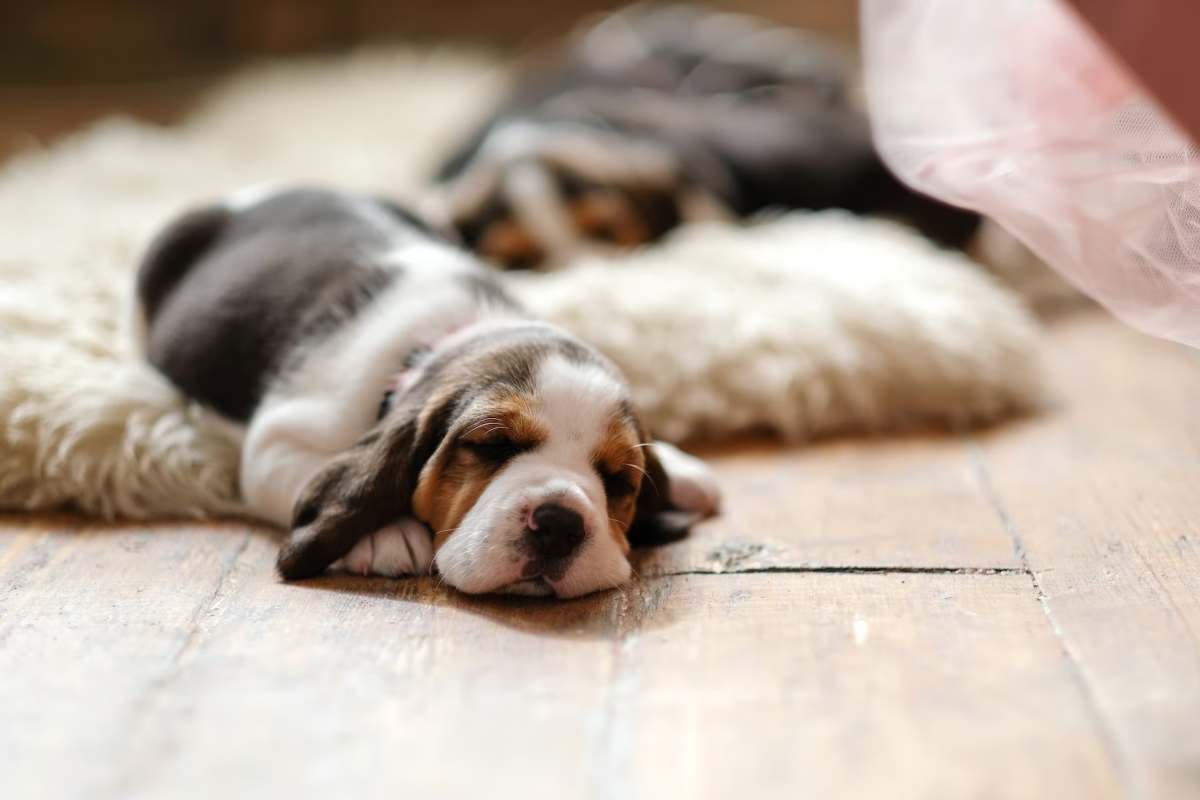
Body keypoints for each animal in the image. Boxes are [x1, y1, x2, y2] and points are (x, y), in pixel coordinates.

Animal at [136, 189, 715, 599]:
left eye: (618, 480)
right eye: (493, 446)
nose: (559, 523)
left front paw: (682, 466)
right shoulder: (276, 443)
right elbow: (316, 472)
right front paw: (387, 532)